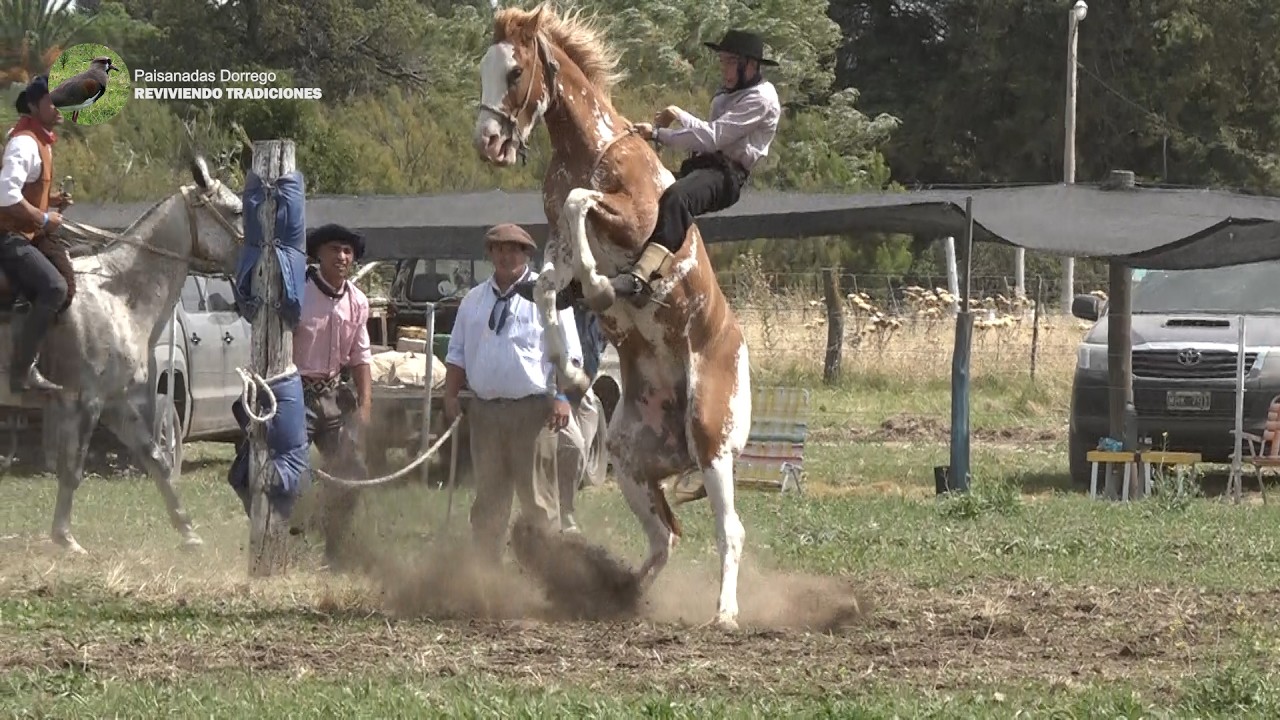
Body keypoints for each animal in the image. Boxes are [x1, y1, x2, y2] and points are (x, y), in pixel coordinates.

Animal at [0, 157, 245, 555]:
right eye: (236, 210)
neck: (118, 296)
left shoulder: (116, 402)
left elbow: (156, 459)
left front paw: (188, 531)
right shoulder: (88, 401)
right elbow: (73, 469)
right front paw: (65, 538)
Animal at [473, 3, 752, 630]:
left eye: (515, 71)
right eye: (483, 68)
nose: (489, 142)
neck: (595, 148)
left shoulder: (628, 218)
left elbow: (583, 206)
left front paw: (608, 289)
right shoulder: (558, 252)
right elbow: (547, 289)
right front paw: (573, 372)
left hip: (713, 442)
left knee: (730, 531)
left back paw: (724, 612)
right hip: (631, 464)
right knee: (665, 536)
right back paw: (620, 590)